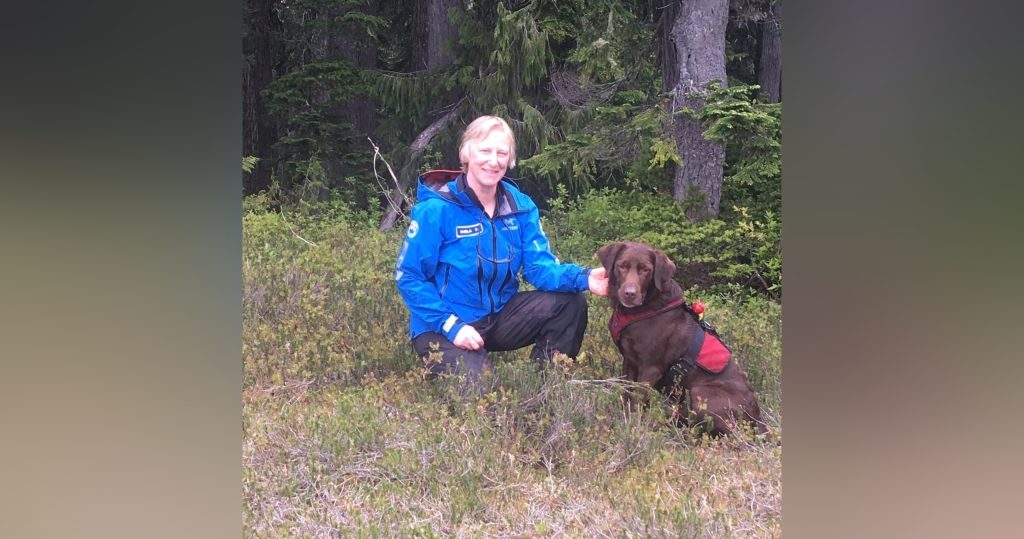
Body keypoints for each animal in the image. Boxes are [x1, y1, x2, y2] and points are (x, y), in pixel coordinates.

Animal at [598, 242, 765, 436]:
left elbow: (637, 400)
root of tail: (758, 418)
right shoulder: (629, 361)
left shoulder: (650, 368)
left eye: (646, 269)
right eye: (622, 266)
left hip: (700, 393)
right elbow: (626, 393)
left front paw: (631, 426)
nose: (629, 294)